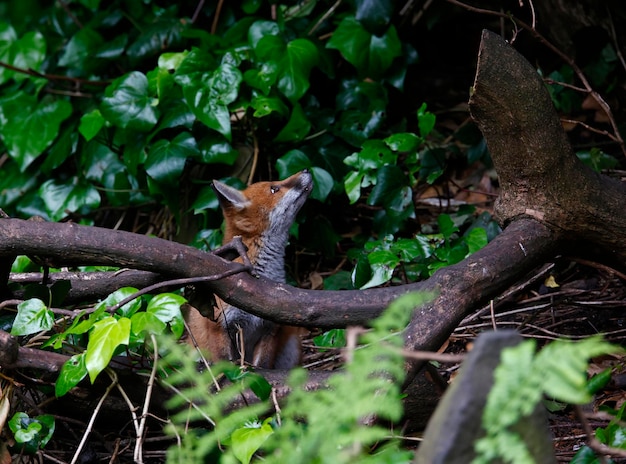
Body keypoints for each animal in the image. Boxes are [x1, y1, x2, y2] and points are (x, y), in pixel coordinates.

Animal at [184, 169, 312, 368]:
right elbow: (225, 365)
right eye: (274, 189)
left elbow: (262, 366)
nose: (306, 170)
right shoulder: (219, 326)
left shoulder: (270, 329)